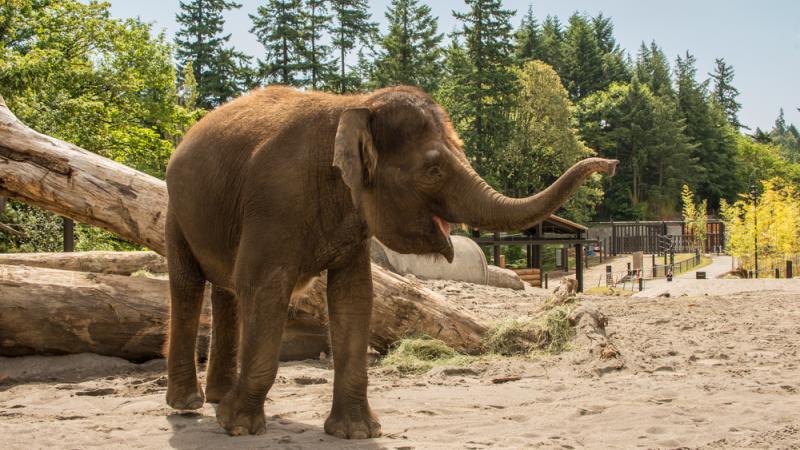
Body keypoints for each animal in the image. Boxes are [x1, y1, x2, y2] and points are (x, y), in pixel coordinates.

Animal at [164, 85, 620, 440]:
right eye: (433, 169)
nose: (610, 164)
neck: (354, 103)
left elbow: (353, 297)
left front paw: (357, 433)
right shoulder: (273, 202)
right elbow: (264, 287)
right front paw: (237, 427)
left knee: (225, 292)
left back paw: (217, 396)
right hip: (176, 210)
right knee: (188, 286)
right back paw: (189, 403)